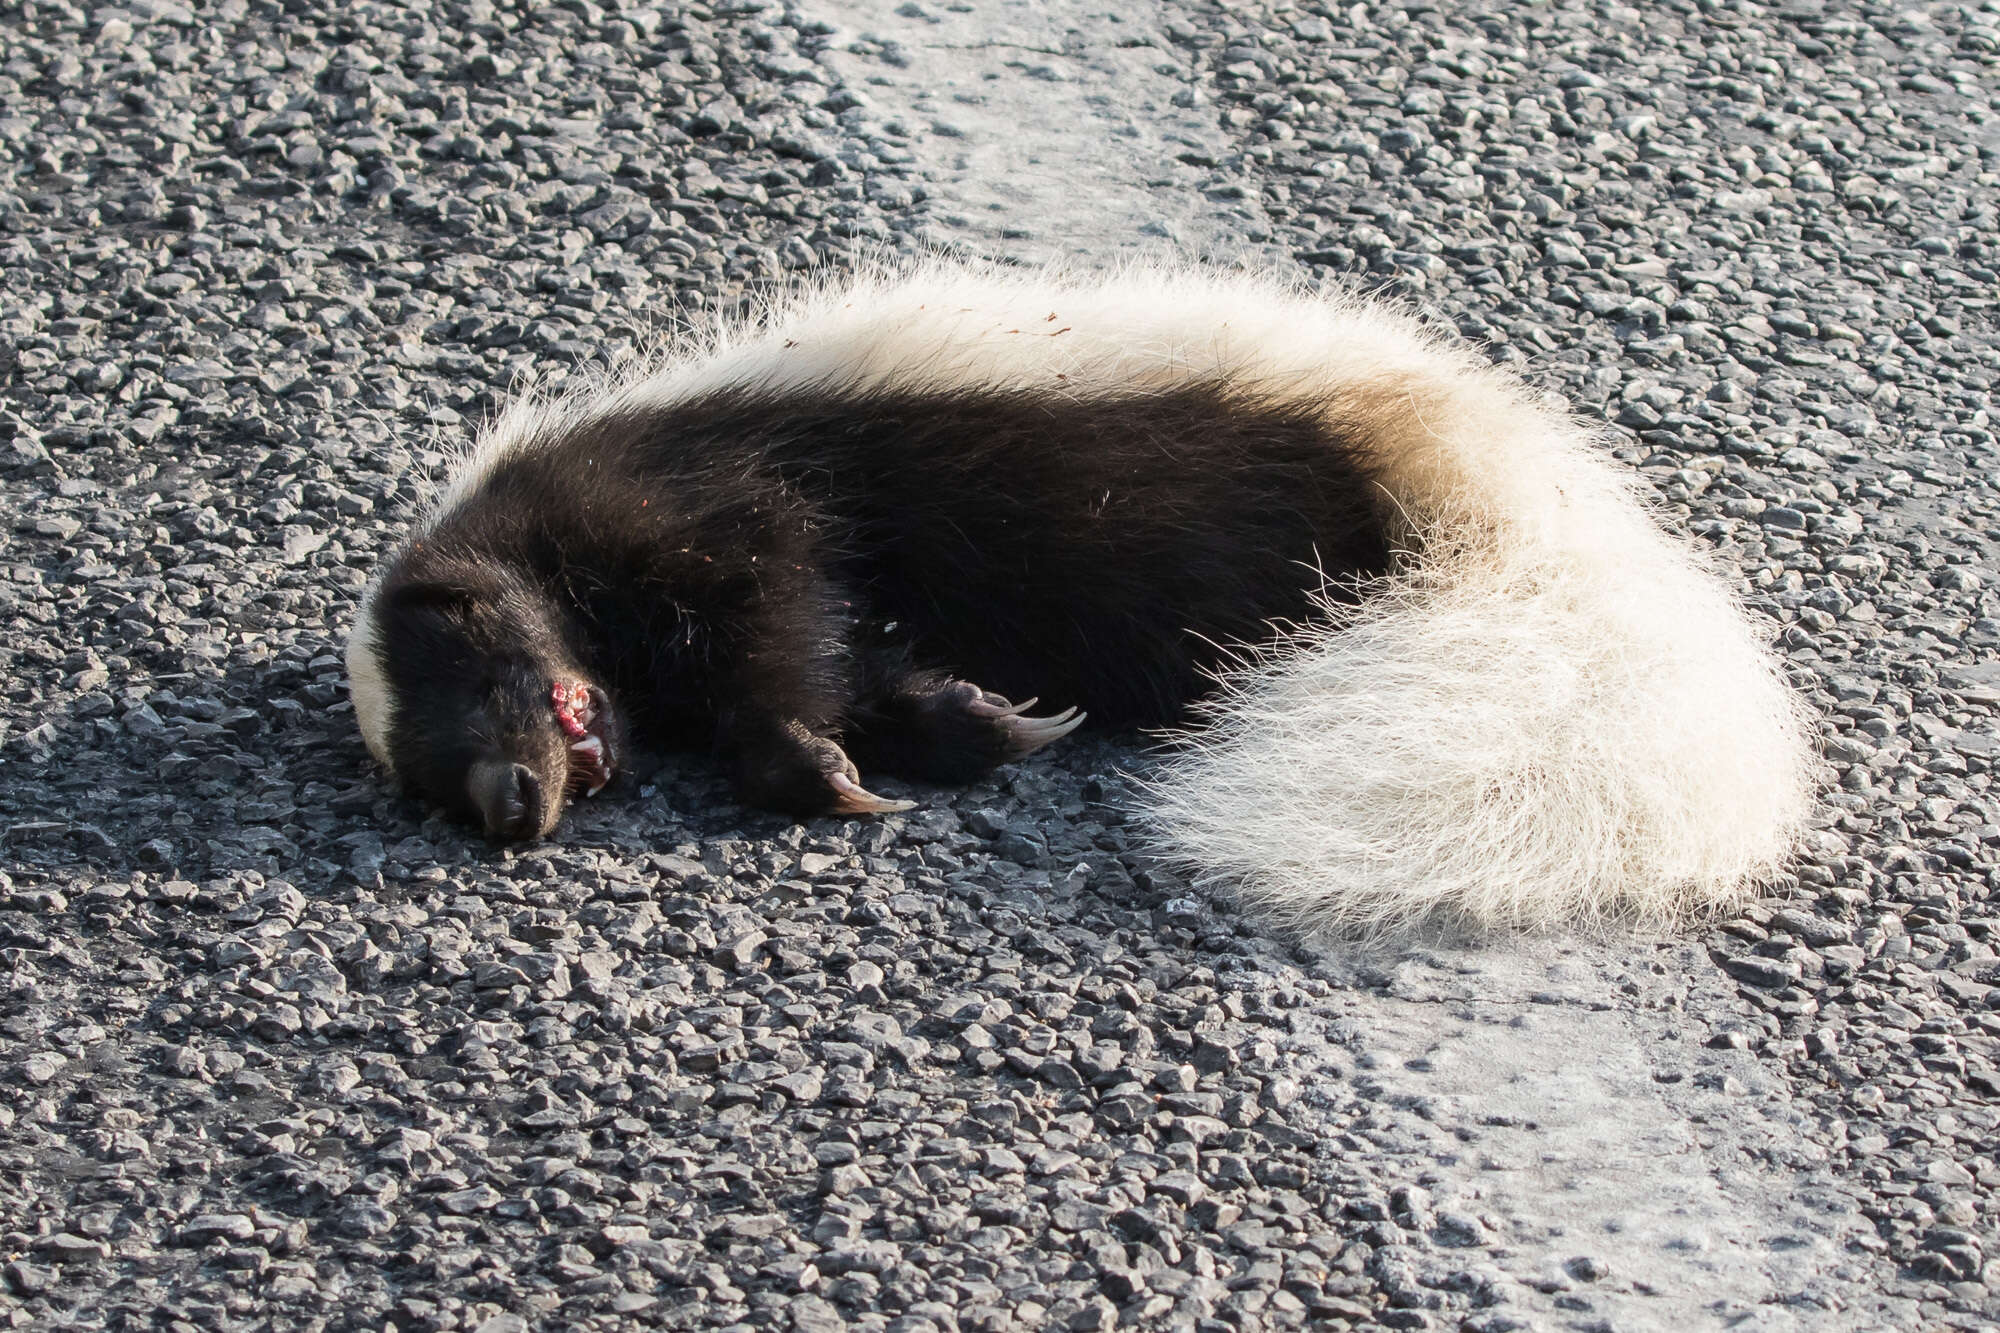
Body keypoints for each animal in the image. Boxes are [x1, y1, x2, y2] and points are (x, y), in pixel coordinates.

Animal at [348, 262, 1832, 932]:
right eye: (429, 783)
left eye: (479, 674)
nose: (513, 803)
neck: (533, 520)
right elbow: (861, 653)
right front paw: (978, 718)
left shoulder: (710, 496)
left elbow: (786, 615)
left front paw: (831, 773)